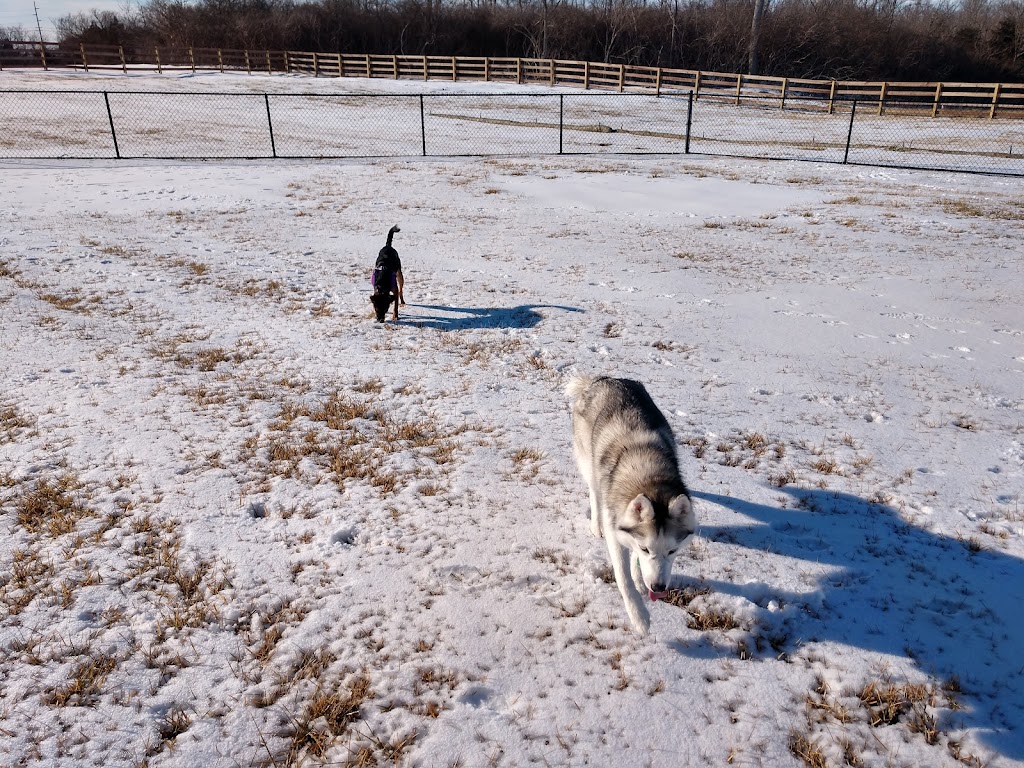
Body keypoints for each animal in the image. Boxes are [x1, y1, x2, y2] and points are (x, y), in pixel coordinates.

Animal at [565, 376, 700, 634]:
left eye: (672, 551)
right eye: (647, 549)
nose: (658, 588)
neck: (650, 478)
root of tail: (602, 379)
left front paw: (640, 580)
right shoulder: (615, 532)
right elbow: (623, 578)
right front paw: (639, 617)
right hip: (588, 463)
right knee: (594, 492)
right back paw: (595, 524)